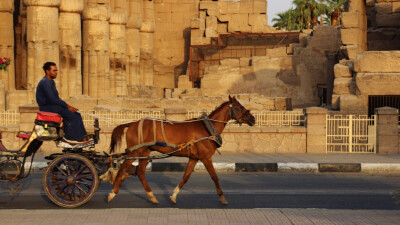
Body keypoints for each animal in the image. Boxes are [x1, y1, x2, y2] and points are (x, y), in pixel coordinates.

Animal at [107, 96, 256, 205]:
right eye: (238, 107)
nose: (253, 119)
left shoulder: (194, 157)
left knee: (141, 172)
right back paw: (112, 193)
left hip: (145, 151)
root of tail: (132, 123)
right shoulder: (206, 158)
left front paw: (173, 196)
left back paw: (151, 196)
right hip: (135, 151)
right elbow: (215, 177)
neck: (208, 128)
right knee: (123, 168)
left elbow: (186, 176)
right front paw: (222, 198)